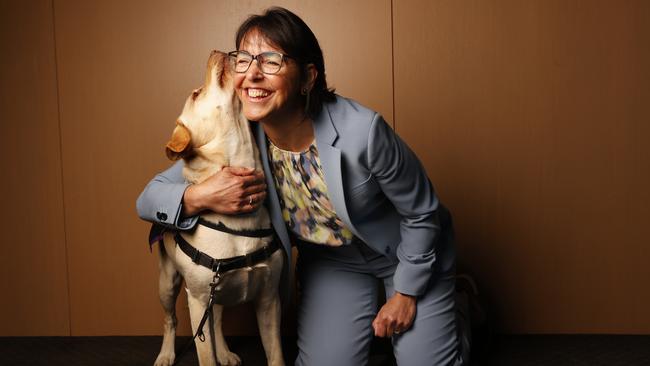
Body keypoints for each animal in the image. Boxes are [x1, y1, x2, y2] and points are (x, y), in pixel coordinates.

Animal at [153, 50, 284, 366]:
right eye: (196, 93)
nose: (216, 52)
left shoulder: (269, 299)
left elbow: (275, 354)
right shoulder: (198, 300)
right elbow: (205, 354)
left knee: (218, 319)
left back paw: (224, 351)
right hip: (168, 284)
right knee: (170, 320)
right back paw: (166, 353)